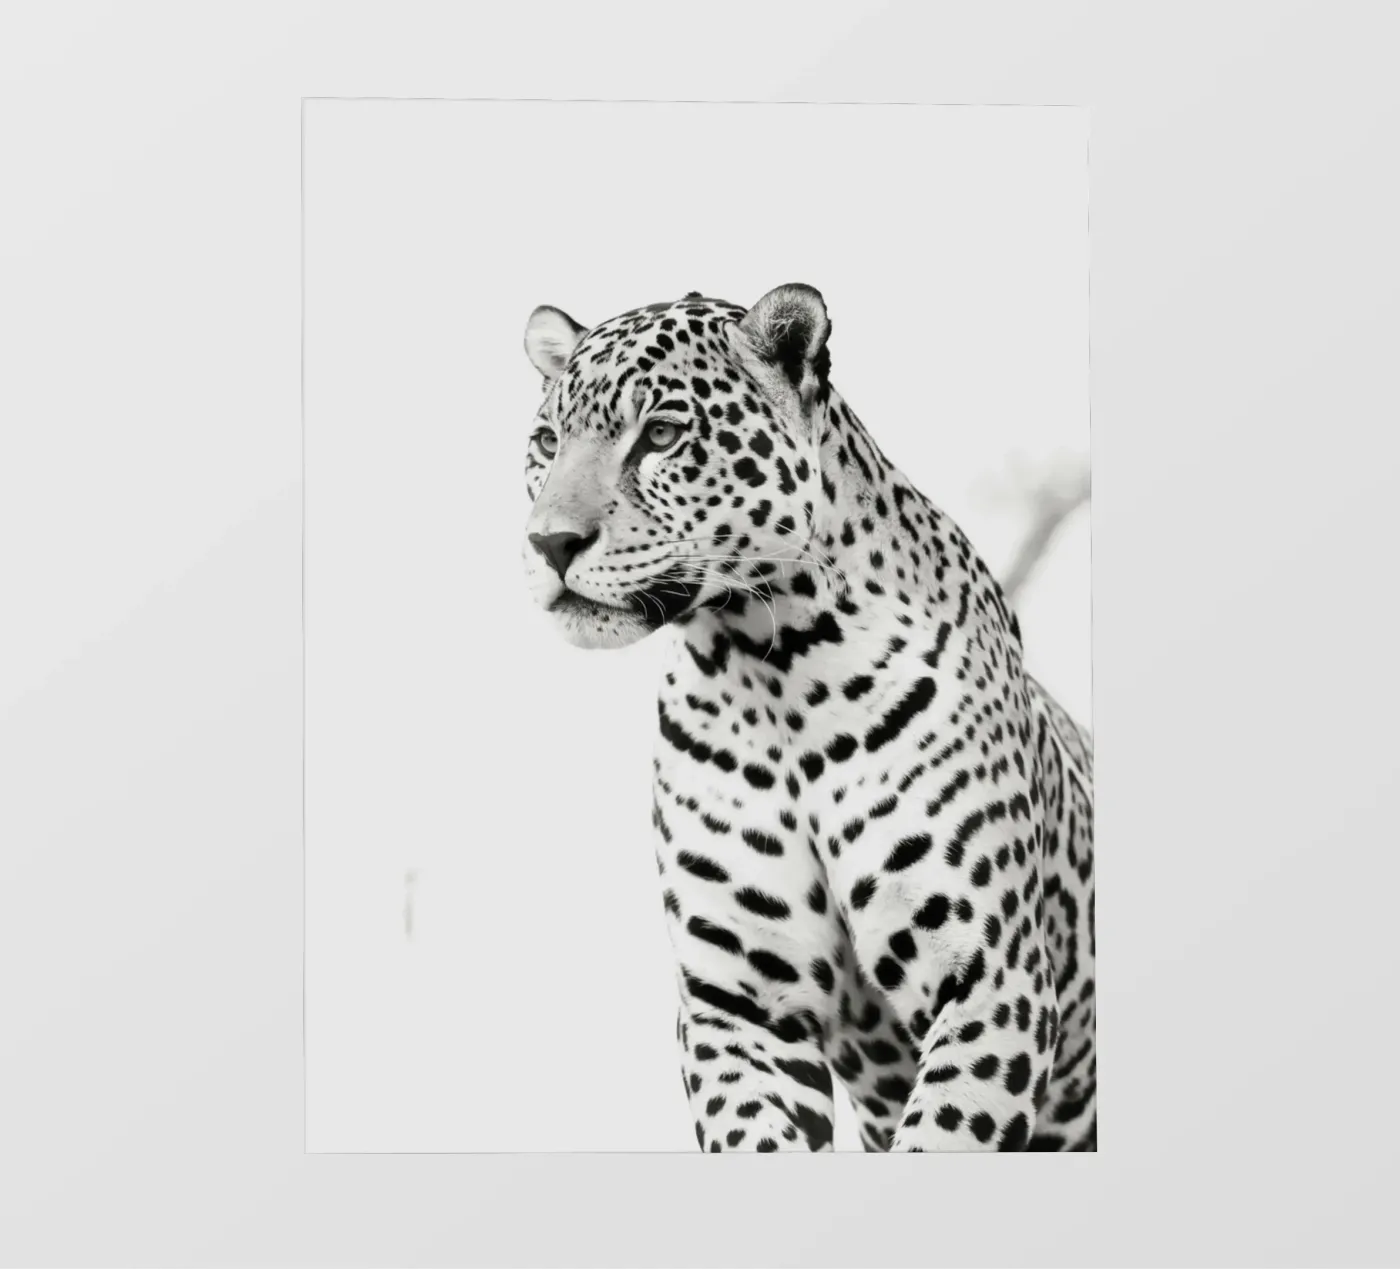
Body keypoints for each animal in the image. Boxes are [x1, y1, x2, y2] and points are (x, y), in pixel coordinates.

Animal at [518, 284, 1095, 1152]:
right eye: (547, 441)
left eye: (660, 435)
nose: (550, 543)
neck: (772, 667)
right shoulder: (740, 1005)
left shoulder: (992, 979)